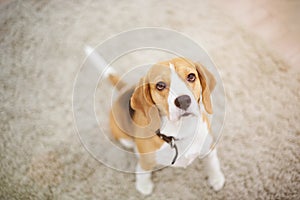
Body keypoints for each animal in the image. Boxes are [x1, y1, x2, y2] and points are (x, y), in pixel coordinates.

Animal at [101, 57, 225, 195]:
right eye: (160, 85)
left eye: (191, 76)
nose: (183, 100)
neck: (180, 131)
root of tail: (125, 89)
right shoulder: (146, 161)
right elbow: (143, 171)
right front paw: (144, 186)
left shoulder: (208, 145)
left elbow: (212, 162)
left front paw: (216, 178)